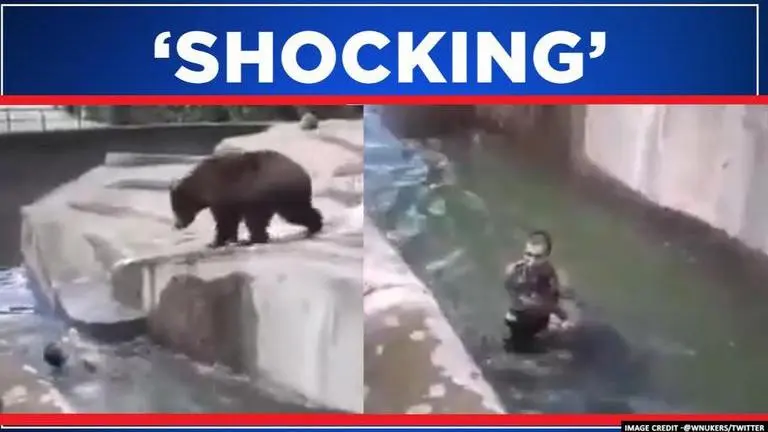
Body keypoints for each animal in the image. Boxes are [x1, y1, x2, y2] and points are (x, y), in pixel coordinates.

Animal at [170, 150, 323, 248]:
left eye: (177, 208)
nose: (177, 225)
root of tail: (304, 173)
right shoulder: (232, 200)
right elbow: (231, 220)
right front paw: (230, 239)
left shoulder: (223, 195)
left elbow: (224, 220)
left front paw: (214, 242)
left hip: (271, 192)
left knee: (286, 213)